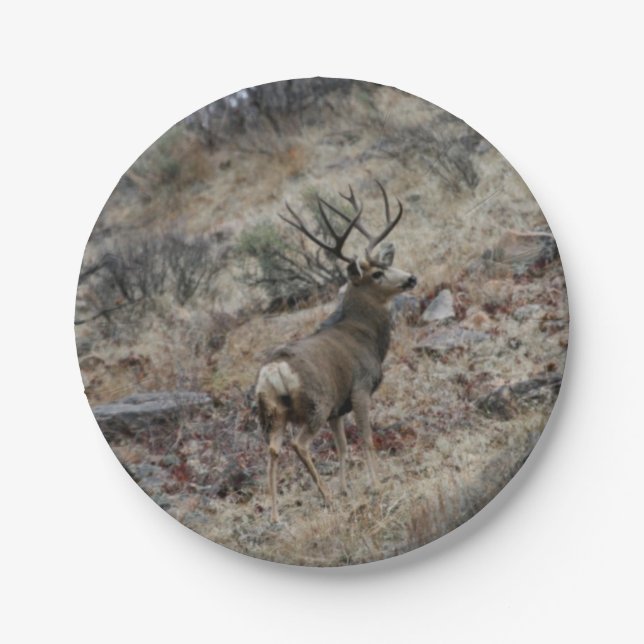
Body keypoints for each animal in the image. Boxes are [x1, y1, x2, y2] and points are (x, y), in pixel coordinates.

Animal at [255, 181, 417, 522]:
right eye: (376, 274)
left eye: (388, 263)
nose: (412, 278)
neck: (364, 335)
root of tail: (275, 370)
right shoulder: (359, 389)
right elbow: (367, 439)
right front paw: (376, 484)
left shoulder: (337, 410)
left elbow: (343, 447)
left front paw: (345, 489)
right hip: (315, 404)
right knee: (299, 445)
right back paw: (325, 496)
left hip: (273, 413)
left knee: (273, 449)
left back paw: (276, 514)